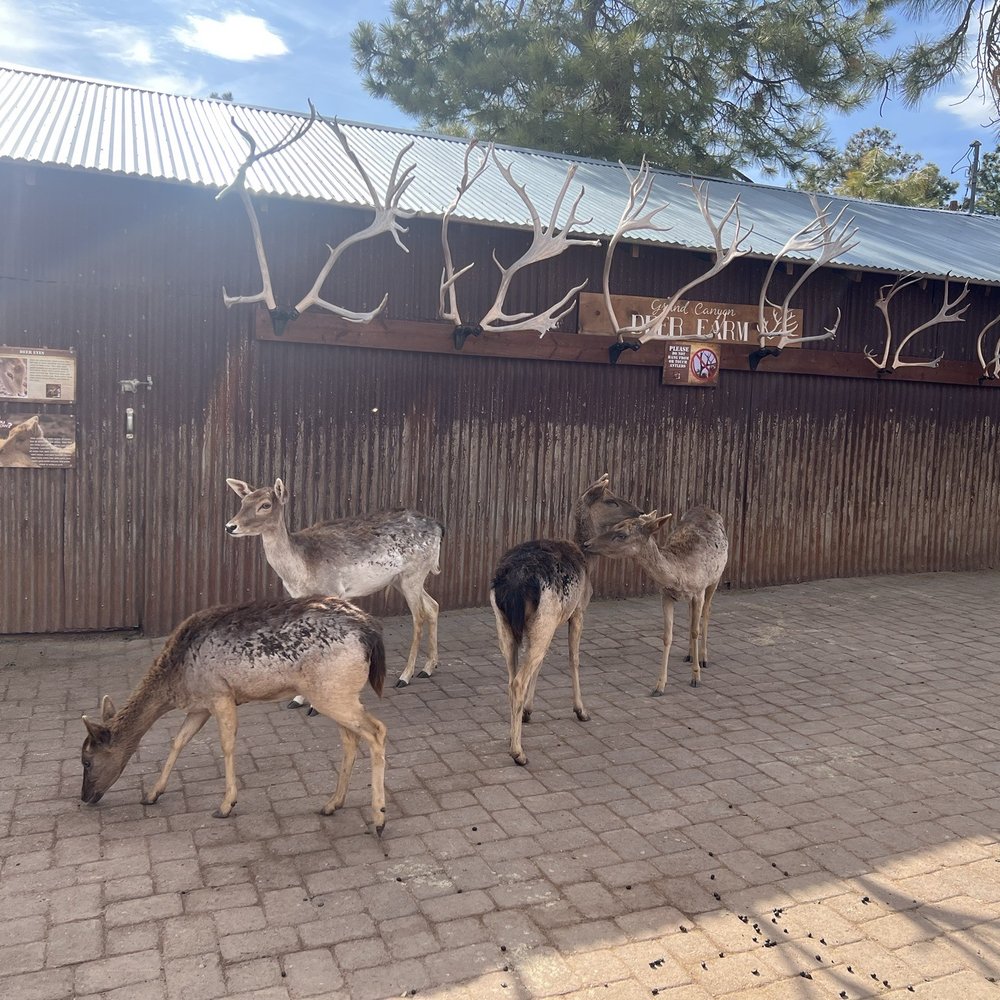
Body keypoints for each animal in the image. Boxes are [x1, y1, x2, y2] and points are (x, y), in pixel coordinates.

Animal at [80, 596, 389, 833]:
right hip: (336, 692)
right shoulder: (200, 706)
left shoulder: (221, 694)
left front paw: (226, 804)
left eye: (86, 760)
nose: (85, 797)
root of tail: (371, 632)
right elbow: (178, 741)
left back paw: (378, 818)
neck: (178, 681)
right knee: (351, 739)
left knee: (377, 730)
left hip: (331, 691)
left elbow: (227, 745)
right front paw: (152, 793)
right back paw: (332, 803)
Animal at [225, 478, 443, 701]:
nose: (230, 526)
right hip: (401, 579)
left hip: (413, 574)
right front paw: (298, 699)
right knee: (433, 605)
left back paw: (405, 676)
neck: (300, 570)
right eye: (244, 502)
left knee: (419, 616)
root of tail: (438, 527)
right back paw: (428, 667)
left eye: (265, 505)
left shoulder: (332, 590)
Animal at [490, 473, 644, 766]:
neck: (587, 561)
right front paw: (581, 710)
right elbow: (574, 658)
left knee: (512, 676)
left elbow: (541, 664)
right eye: (611, 500)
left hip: (507, 624)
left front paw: (528, 712)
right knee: (518, 680)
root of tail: (514, 583)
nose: (639, 511)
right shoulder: (578, 610)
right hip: (544, 619)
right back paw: (518, 752)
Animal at [582, 507, 728, 696]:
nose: (586, 544)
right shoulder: (665, 595)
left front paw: (696, 677)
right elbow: (667, 636)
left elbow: (696, 631)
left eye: (622, 534)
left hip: (715, 579)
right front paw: (659, 686)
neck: (681, 574)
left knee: (707, 613)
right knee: (691, 616)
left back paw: (703, 658)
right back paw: (689, 655)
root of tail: (706, 508)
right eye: (614, 525)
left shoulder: (699, 591)